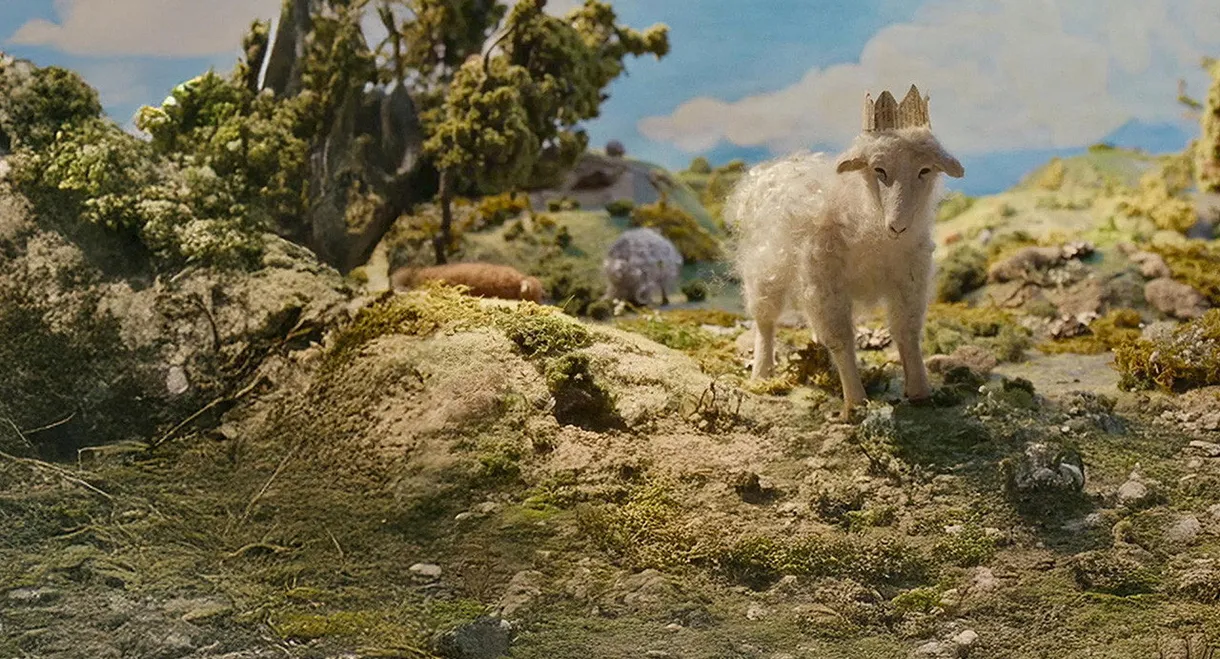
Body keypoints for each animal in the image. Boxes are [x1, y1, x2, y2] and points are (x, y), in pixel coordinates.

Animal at [725, 85, 965, 418]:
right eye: (879, 169)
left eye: (925, 170)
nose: (899, 226)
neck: (868, 227)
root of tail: (773, 169)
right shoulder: (824, 284)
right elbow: (840, 339)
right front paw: (855, 401)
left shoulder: (910, 279)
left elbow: (907, 331)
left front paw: (920, 392)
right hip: (765, 268)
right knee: (764, 320)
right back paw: (762, 372)